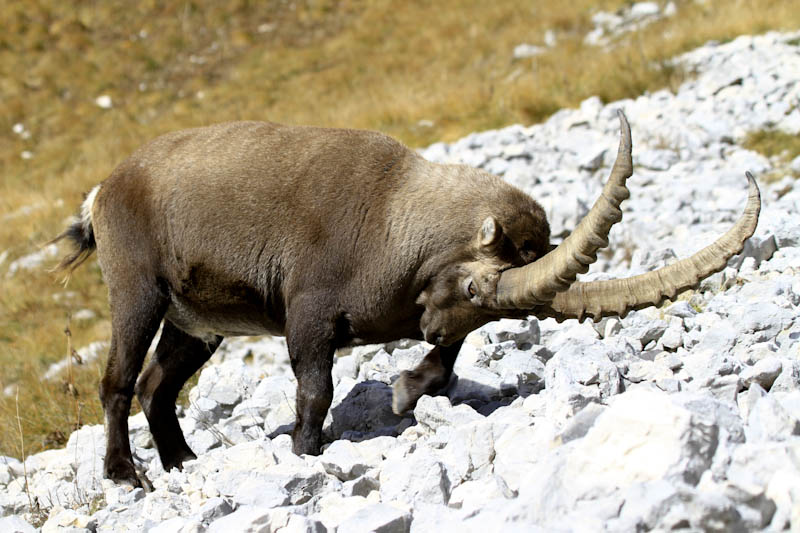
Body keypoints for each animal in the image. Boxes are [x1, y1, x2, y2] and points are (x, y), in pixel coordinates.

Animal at [53, 111, 760, 486]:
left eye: (496, 308)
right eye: (474, 286)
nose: (430, 327)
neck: (394, 217)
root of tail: (102, 193)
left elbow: (446, 365)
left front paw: (404, 390)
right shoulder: (309, 310)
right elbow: (315, 388)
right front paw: (307, 451)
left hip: (197, 324)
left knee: (157, 386)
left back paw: (181, 461)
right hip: (139, 291)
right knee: (118, 382)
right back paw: (125, 472)